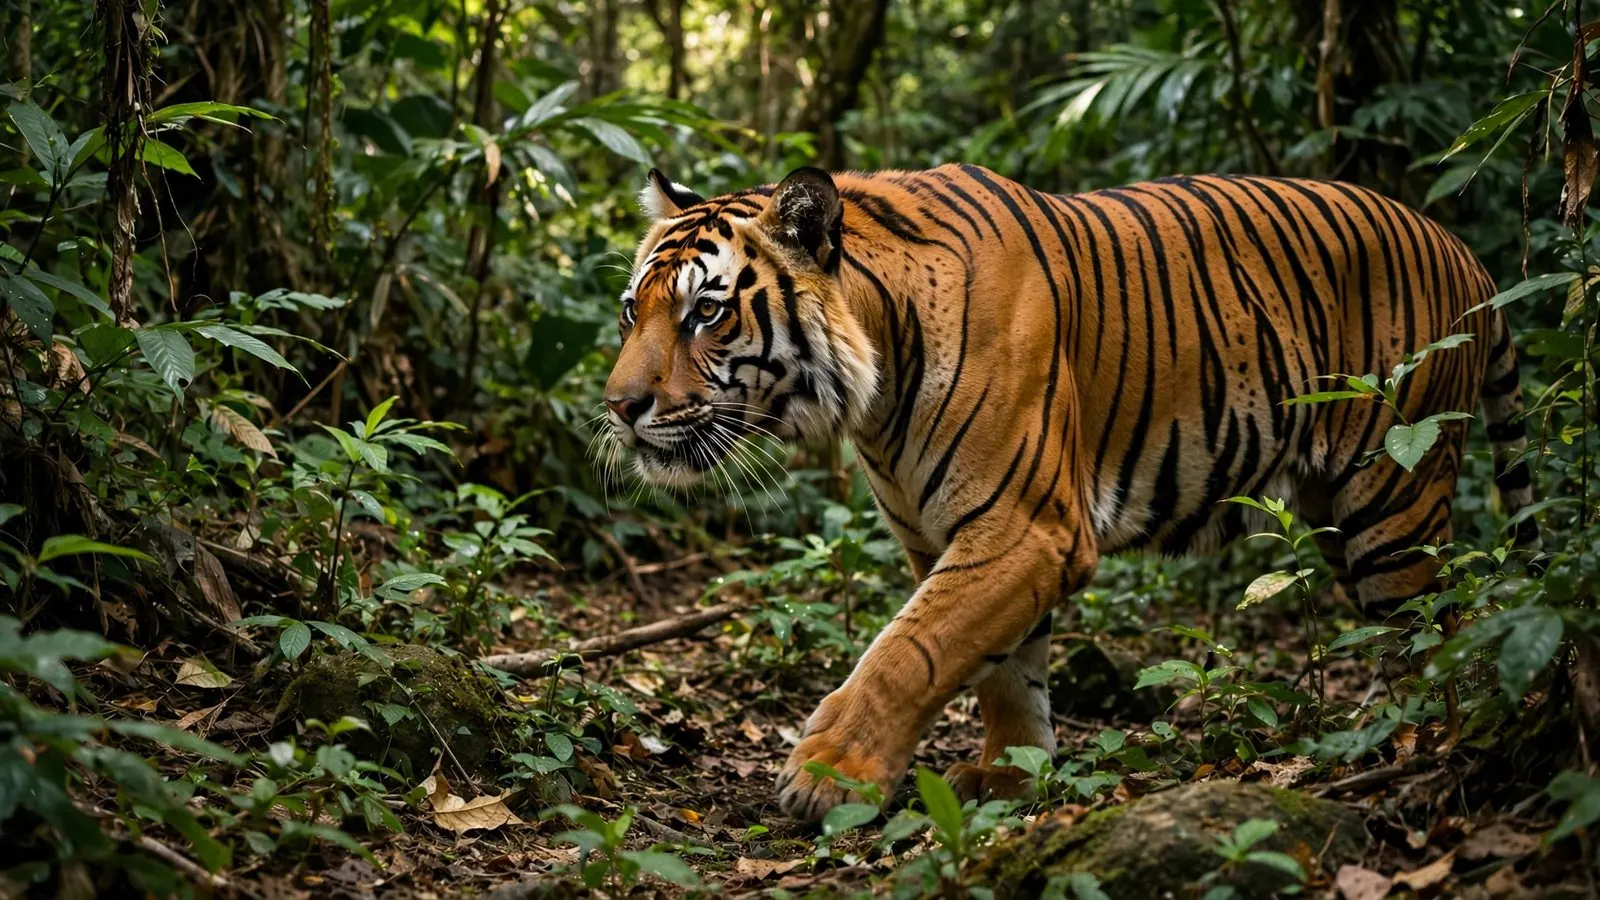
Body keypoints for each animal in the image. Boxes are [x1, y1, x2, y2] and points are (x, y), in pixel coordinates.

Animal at [600, 164, 1538, 821]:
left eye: (706, 313)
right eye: (631, 311)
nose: (618, 407)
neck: (877, 372)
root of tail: (1465, 253)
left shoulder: (1026, 524)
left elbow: (911, 651)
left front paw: (830, 773)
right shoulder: (952, 536)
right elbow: (1002, 667)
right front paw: (1012, 774)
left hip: (1395, 489)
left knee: (1436, 628)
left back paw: (1413, 738)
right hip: (1336, 511)